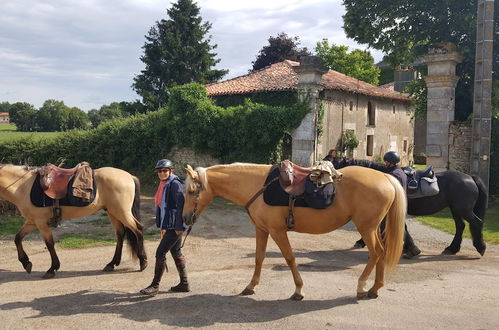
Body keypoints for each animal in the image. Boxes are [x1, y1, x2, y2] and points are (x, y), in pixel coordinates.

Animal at [0, 164, 148, 278]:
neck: (24, 186)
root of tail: (129, 176)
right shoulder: (32, 222)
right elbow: (17, 238)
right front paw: (26, 263)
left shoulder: (41, 223)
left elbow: (49, 244)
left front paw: (52, 269)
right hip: (113, 212)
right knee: (120, 234)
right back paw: (111, 264)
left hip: (122, 212)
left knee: (138, 229)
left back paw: (143, 261)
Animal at [183, 164, 406, 300]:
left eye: (191, 191)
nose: (185, 219)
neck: (258, 186)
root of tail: (386, 177)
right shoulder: (261, 229)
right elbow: (259, 257)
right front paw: (250, 286)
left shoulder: (277, 231)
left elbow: (289, 258)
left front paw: (298, 290)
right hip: (373, 228)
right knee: (382, 252)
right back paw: (375, 288)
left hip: (366, 228)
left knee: (376, 252)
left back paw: (361, 286)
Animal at [338, 159, 486, 256]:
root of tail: (470, 177)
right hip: (455, 208)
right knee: (461, 226)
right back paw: (452, 248)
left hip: (463, 209)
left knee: (476, 223)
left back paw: (480, 247)